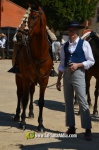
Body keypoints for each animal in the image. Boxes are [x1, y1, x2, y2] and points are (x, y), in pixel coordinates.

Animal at [8, 1, 53, 130]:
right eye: (23, 17)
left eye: (33, 17)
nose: (18, 36)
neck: (39, 54)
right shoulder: (26, 78)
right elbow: (24, 98)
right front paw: (23, 122)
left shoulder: (44, 80)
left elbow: (41, 101)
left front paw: (40, 124)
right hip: (18, 77)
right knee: (20, 93)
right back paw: (17, 115)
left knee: (31, 92)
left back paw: (31, 112)